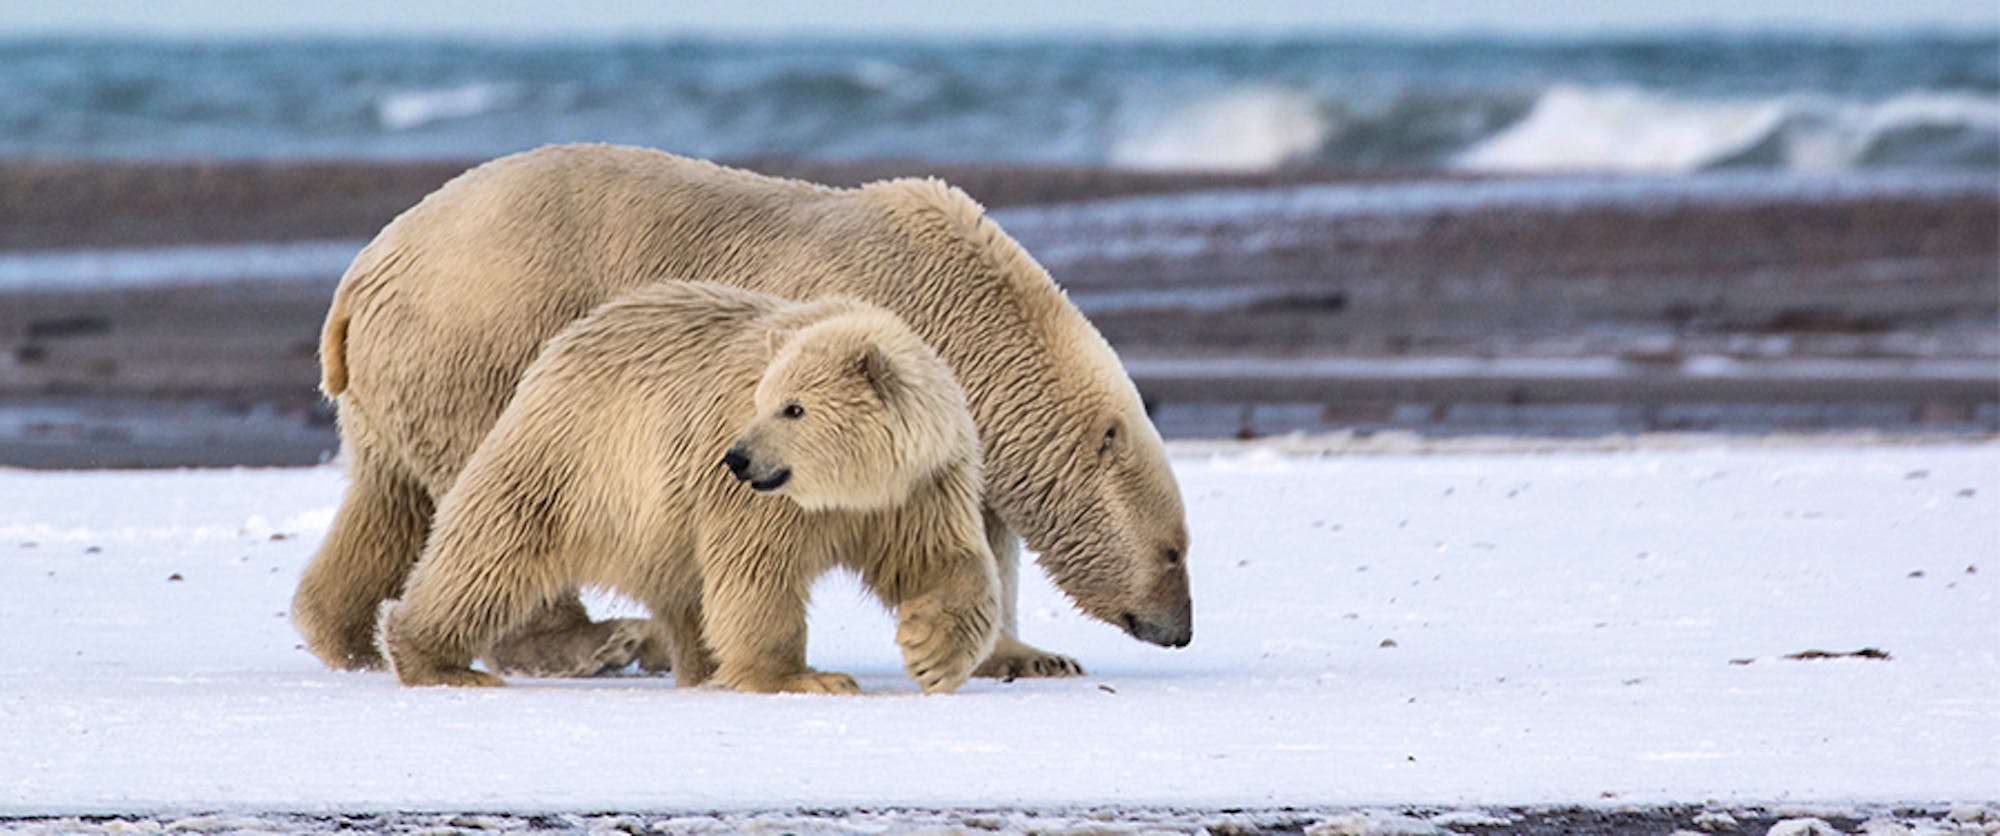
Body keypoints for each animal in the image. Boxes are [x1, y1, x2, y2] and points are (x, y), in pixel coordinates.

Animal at [296, 145, 1184, 680]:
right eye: (1176, 550)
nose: (1179, 628)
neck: (973, 310)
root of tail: (365, 271)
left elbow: (981, 530)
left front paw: (1030, 655)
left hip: (396, 383)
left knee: (388, 498)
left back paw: (346, 637)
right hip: (487, 344)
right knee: (503, 503)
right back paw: (607, 640)